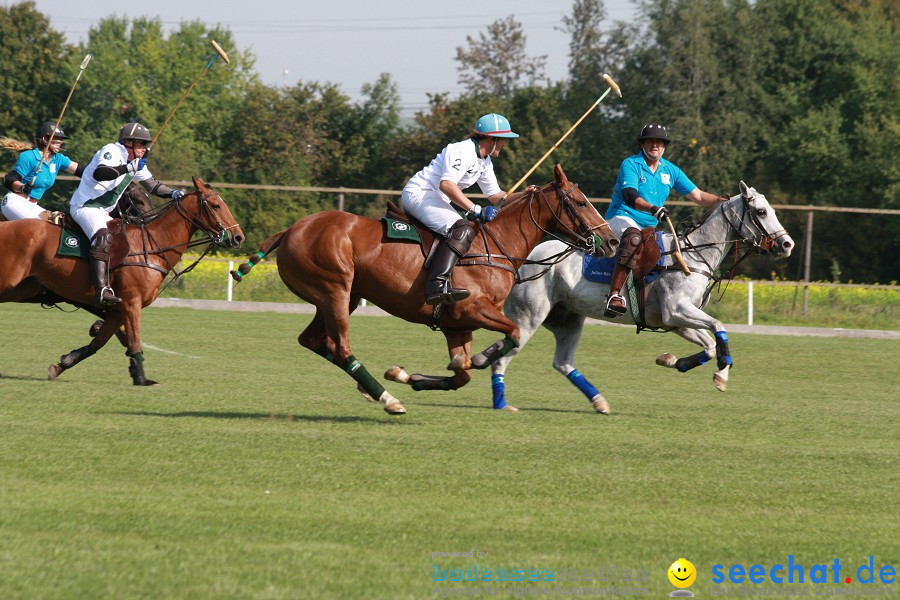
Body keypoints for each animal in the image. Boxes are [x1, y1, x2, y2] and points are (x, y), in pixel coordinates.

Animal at [0, 177, 244, 384]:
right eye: (216, 206)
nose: (238, 237)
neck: (152, 246)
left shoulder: (118, 307)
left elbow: (100, 341)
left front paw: (62, 364)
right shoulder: (131, 302)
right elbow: (132, 339)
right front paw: (142, 378)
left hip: (21, 288)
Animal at [232, 165, 620, 418]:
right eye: (580, 202)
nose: (612, 241)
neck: (496, 246)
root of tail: (290, 230)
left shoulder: (456, 325)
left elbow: (461, 373)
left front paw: (408, 376)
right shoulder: (472, 309)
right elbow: (508, 335)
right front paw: (483, 358)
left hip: (340, 296)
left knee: (314, 341)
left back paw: (373, 389)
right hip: (335, 290)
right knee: (340, 346)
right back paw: (388, 400)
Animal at [492, 182, 796, 412]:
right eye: (760, 211)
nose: (787, 244)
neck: (693, 255)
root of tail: (526, 257)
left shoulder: (674, 321)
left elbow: (709, 345)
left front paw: (674, 361)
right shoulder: (677, 310)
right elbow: (719, 327)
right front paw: (722, 372)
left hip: (568, 317)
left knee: (562, 362)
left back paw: (599, 402)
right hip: (529, 315)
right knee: (505, 353)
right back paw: (501, 402)